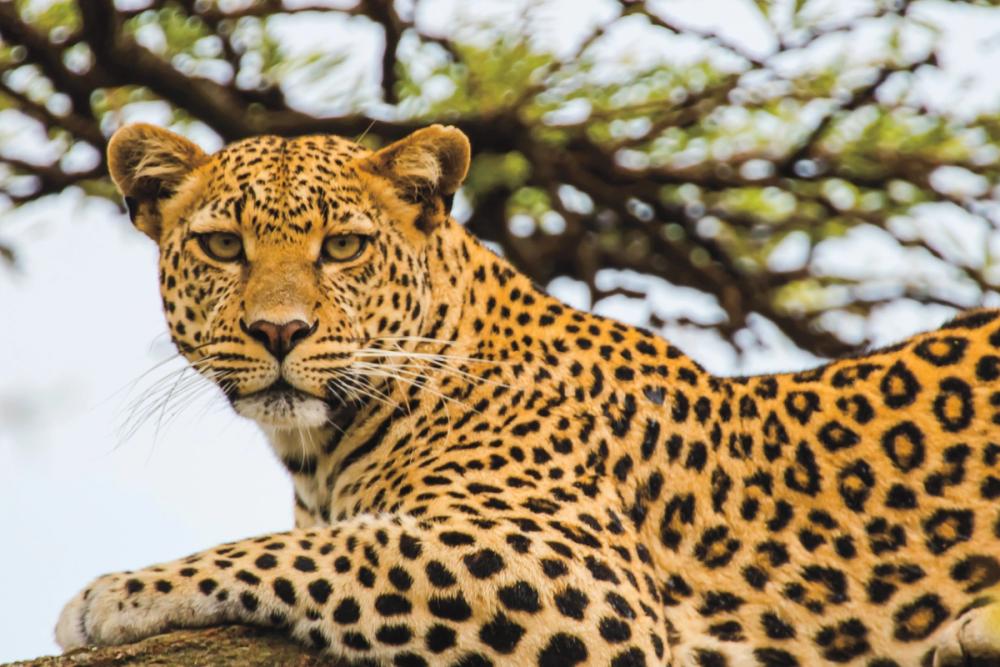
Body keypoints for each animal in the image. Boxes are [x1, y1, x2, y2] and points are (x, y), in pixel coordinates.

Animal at [54, 121, 1000, 666]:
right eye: (221, 246)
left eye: (344, 246)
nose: (279, 331)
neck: (318, 453)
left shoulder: (576, 575)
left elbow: (318, 549)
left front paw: (117, 593)